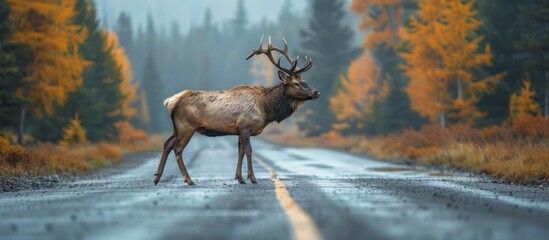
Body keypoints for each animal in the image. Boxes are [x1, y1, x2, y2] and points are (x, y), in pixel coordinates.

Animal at [154, 36, 316, 186]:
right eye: (296, 83)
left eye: (304, 81)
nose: (316, 92)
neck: (265, 109)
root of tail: (171, 101)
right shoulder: (245, 126)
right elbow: (249, 151)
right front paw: (252, 178)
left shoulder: (239, 129)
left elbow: (241, 151)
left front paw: (240, 178)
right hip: (186, 126)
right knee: (177, 149)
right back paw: (188, 179)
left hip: (177, 127)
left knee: (167, 144)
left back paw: (157, 177)